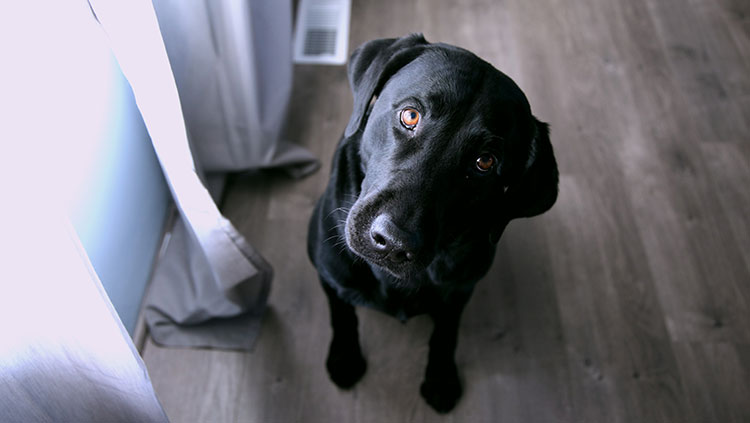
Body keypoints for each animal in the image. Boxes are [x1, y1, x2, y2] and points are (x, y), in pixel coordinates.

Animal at [306, 34, 560, 414]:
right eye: (410, 115)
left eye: (485, 161)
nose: (392, 242)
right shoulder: (328, 270)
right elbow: (342, 311)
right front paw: (346, 357)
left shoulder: (461, 290)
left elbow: (446, 332)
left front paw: (441, 378)